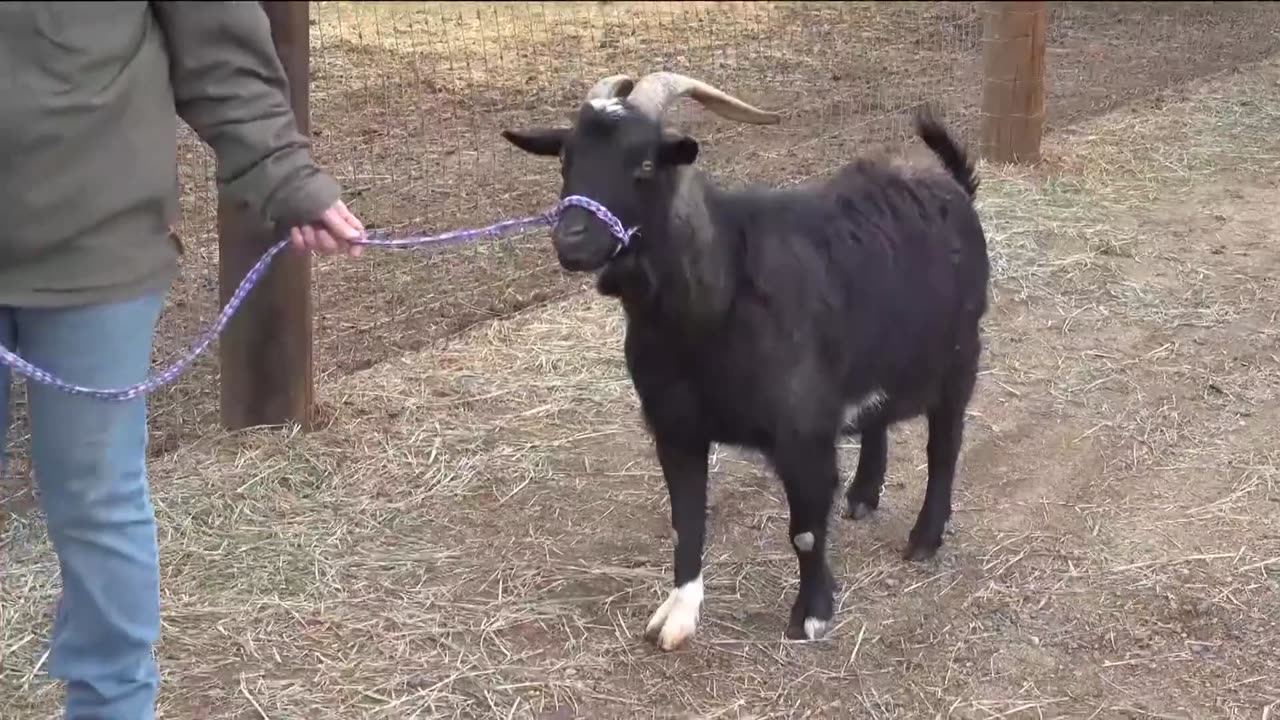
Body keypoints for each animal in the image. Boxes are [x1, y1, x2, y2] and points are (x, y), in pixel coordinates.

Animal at [499, 73, 988, 650]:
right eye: (564, 160)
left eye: (645, 164)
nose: (572, 240)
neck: (719, 293)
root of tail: (954, 187)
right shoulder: (675, 428)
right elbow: (686, 522)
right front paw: (678, 614)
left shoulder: (801, 431)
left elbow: (804, 530)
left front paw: (812, 614)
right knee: (878, 415)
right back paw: (863, 495)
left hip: (960, 355)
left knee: (944, 446)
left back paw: (925, 538)